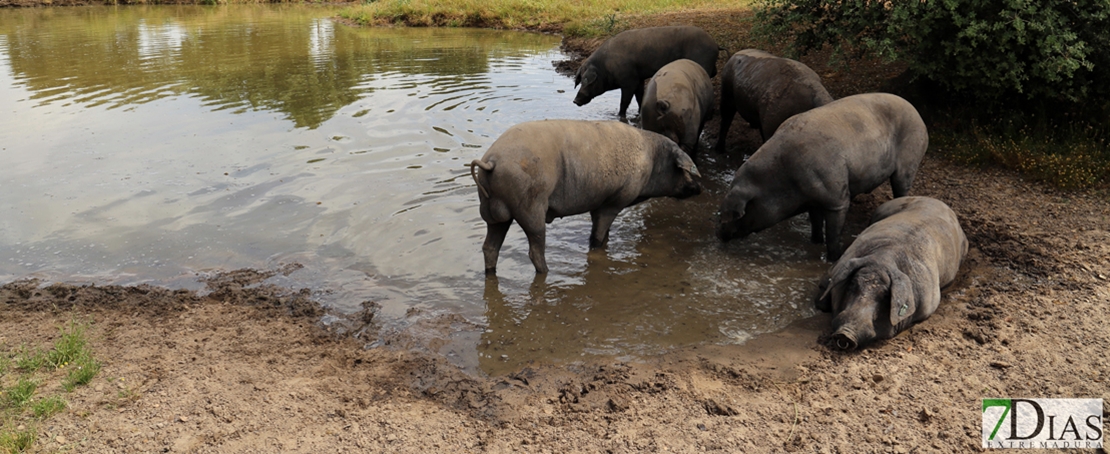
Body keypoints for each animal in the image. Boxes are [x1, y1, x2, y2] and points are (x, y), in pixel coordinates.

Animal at [470, 119, 701, 271]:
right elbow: (597, 237)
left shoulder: (599, 202)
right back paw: (547, 272)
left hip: (494, 215)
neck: (652, 161)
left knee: (489, 248)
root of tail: (491, 161)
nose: (699, 188)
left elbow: (603, 233)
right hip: (531, 209)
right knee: (535, 250)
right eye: (683, 170)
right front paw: (596, 249)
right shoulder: (615, 201)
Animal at [572, 25, 719, 118]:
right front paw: (638, 113)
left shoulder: (629, 81)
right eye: (580, 81)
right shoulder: (639, 79)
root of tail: (715, 44)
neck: (606, 67)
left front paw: (620, 116)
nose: (575, 101)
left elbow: (625, 101)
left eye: (587, 81)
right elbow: (639, 98)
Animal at [710, 92, 927, 259]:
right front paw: (814, 242)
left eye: (732, 214)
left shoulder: (837, 198)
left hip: (909, 159)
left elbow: (833, 232)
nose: (717, 233)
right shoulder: (812, 199)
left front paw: (833, 258)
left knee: (902, 186)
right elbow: (815, 222)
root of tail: (919, 116)